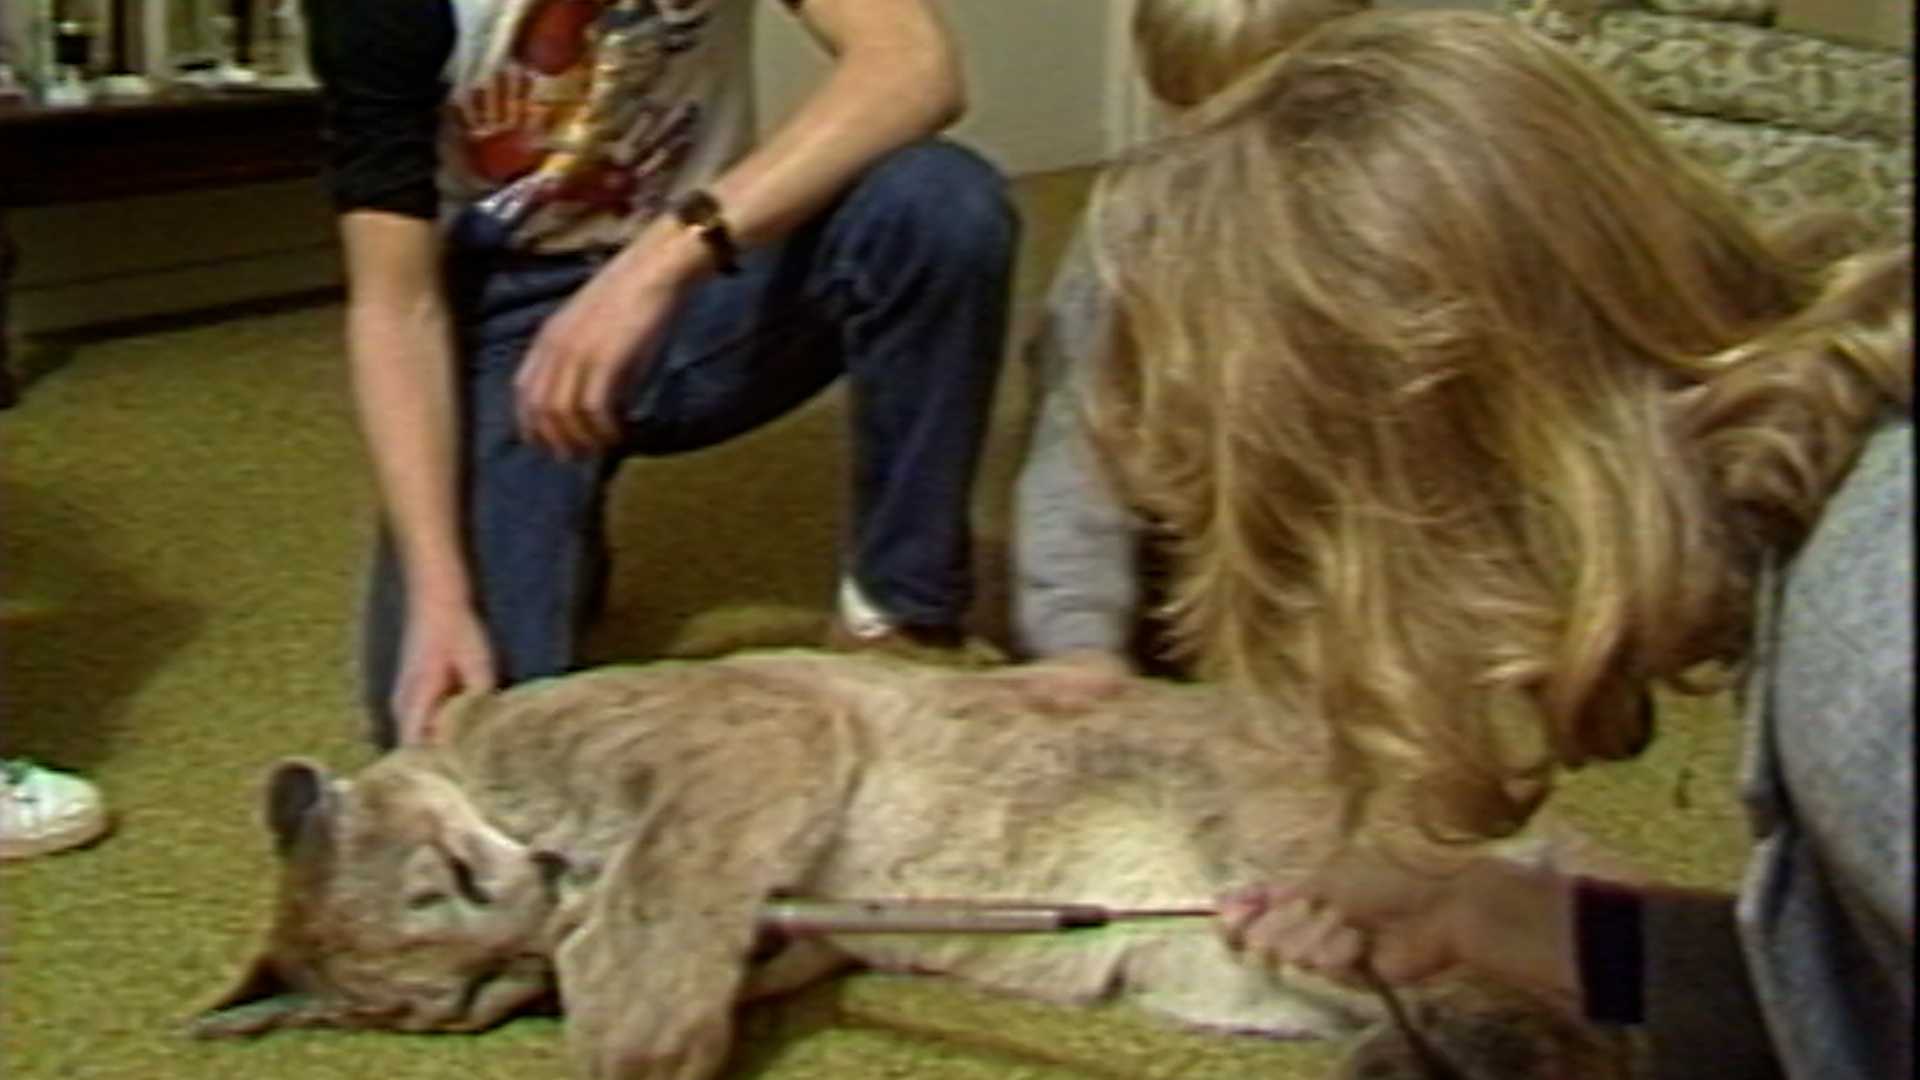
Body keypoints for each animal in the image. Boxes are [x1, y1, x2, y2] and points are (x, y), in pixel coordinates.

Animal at [192, 649, 1641, 1079]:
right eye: (483, 1000)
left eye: (450, 881)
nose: (537, 911)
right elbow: (701, 922)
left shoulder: (759, 731)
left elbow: (659, 897)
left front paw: (630, 1040)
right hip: (1235, 969)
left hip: (1298, 870)